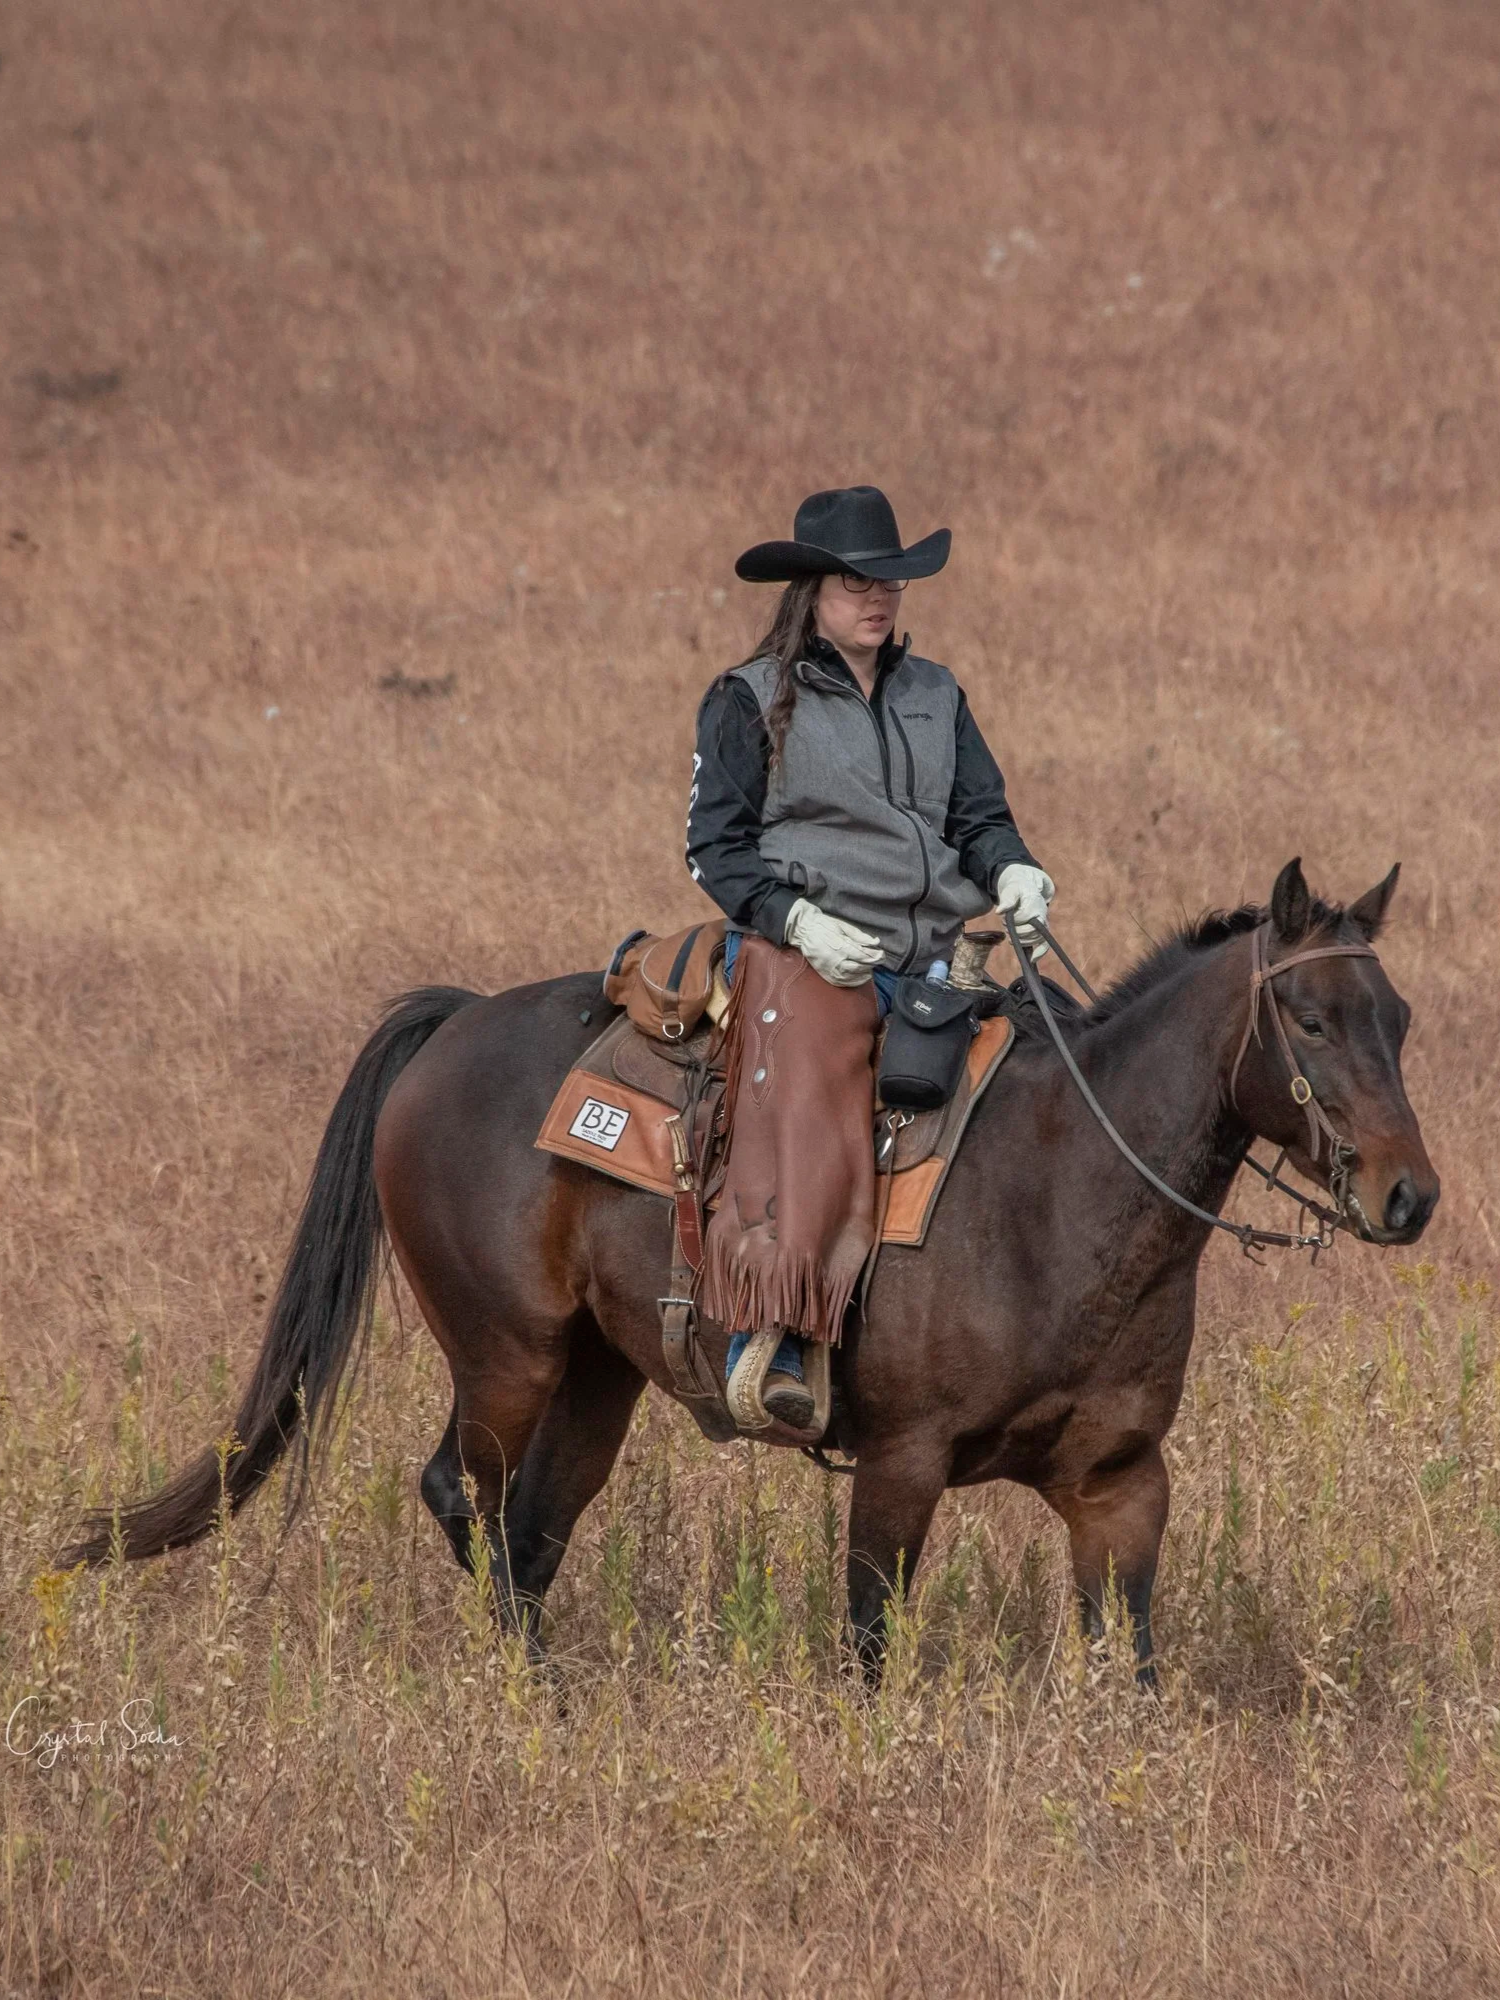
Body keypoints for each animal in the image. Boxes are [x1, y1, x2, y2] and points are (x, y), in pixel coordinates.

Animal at [64, 859, 1439, 1682]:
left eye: (1400, 1018)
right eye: (1309, 1018)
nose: (1408, 1194)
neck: (1063, 1186)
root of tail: (453, 1022)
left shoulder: (1121, 1484)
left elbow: (1128, 1663)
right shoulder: (900, 1463)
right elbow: (871, 1643)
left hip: (599, 1377)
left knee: (532, 1528)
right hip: (507, 1356)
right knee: (466, 1498)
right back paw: (533, 1697)